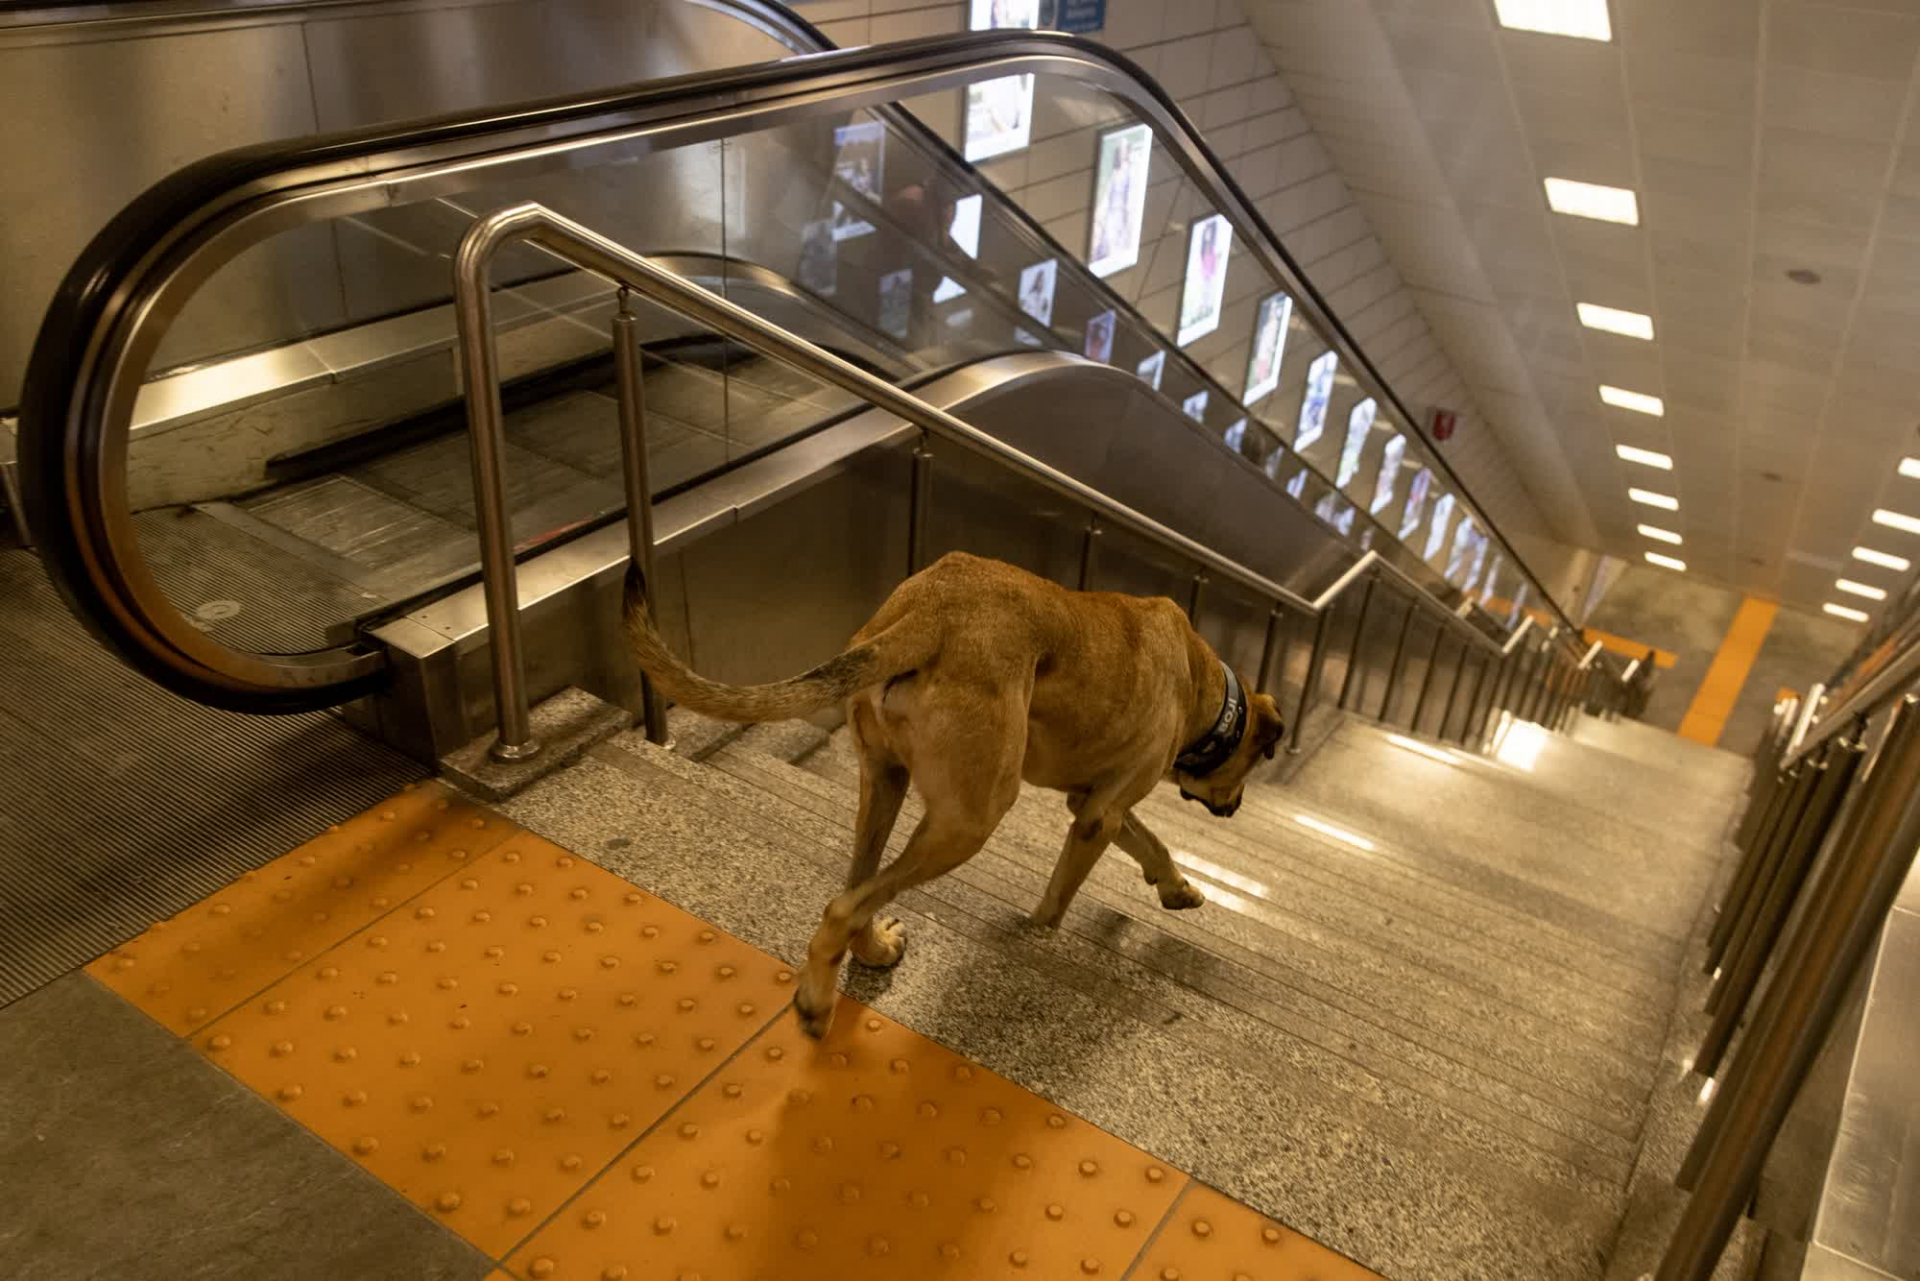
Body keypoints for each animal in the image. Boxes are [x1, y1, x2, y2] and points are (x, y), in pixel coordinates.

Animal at [629, 549, 1282, 1029]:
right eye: (1252, 766)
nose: (1236, 809)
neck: (1209, 691)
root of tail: (933, 615)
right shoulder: (1100, 812)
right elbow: (1060, 898)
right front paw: (1039, 936)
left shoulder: (1095, 802)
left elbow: (1152, 842)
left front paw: (1178, 888)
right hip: (973, 818)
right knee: (845, 903)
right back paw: (817, 1000)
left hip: (884, 780)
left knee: (858, 885)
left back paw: (873, 951)